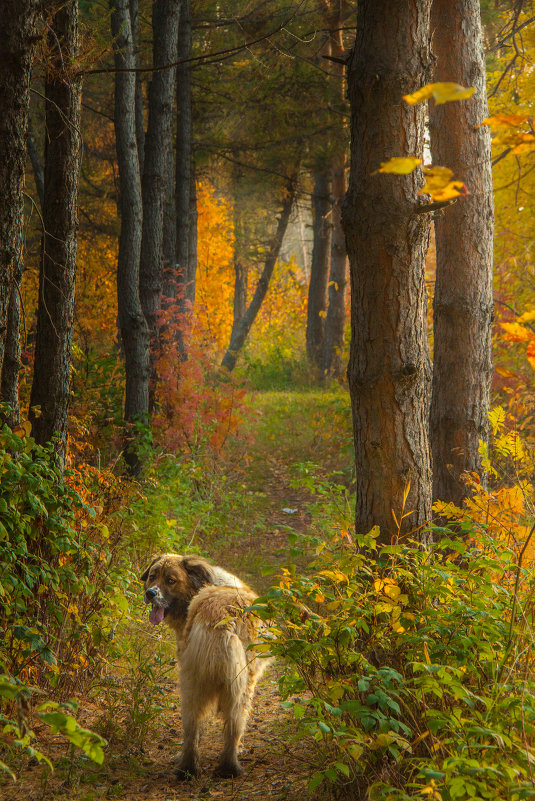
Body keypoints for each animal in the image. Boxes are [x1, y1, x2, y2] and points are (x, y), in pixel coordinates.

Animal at [141, 552, 270, 780]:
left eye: (171, 580)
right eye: (153, 576)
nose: (150, 592)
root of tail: (219, 619)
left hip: (192, 682)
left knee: (193, 729)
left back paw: (188, 768)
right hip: (237, 686)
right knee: (231, 727)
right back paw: (226, 767)